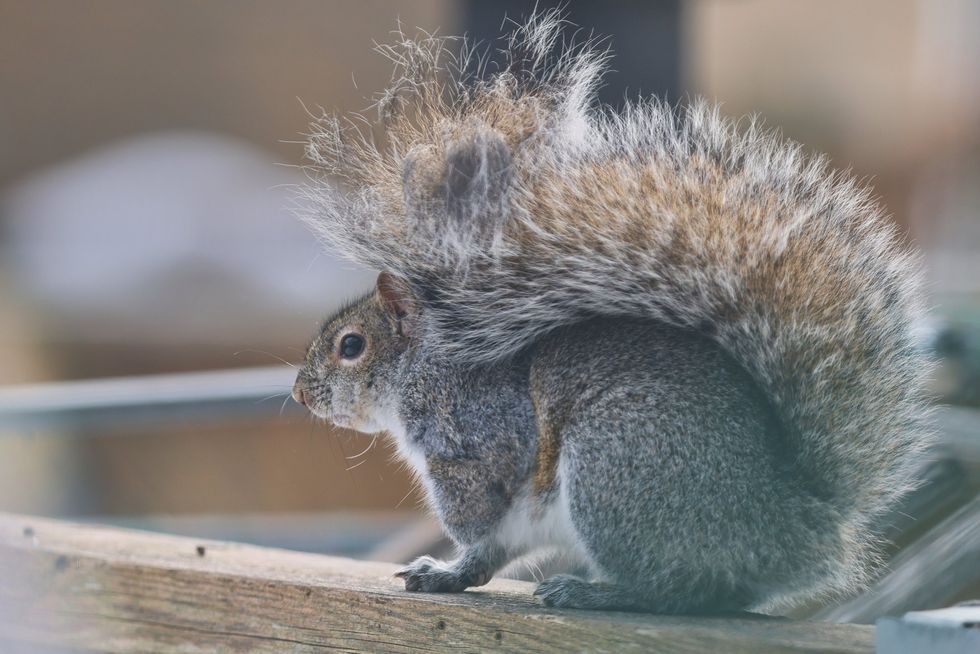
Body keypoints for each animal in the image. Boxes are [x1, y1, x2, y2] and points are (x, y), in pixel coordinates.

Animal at [291, 12, 933, 614]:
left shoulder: (482, 424)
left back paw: (595, 593)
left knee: (682, 590)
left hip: (615, 468)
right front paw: (446, 571)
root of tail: (797, 523)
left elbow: (485, 492)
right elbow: (486, 552)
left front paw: (461, 527)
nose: (299, 394)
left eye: (351, 345)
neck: (422, 367)